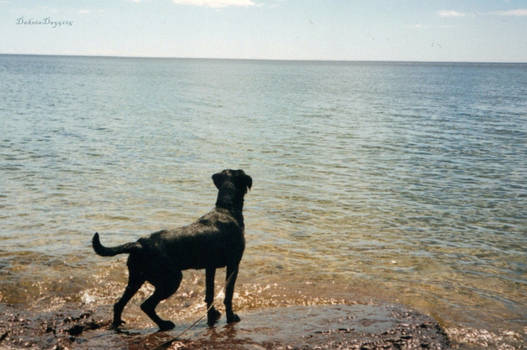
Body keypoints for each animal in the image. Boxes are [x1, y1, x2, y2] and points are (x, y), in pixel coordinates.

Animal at [92, 170, 253, 330]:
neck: (226, 208)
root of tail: (138, 244)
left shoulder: (210, 267)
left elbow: (210, 293)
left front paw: (212, 315)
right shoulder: (233, 264)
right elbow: (228, 295)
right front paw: (231, 317)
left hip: (137, 279)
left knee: (119, 304)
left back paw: (117, 324)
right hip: (171, 279)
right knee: (146, 305)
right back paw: (164, 324)